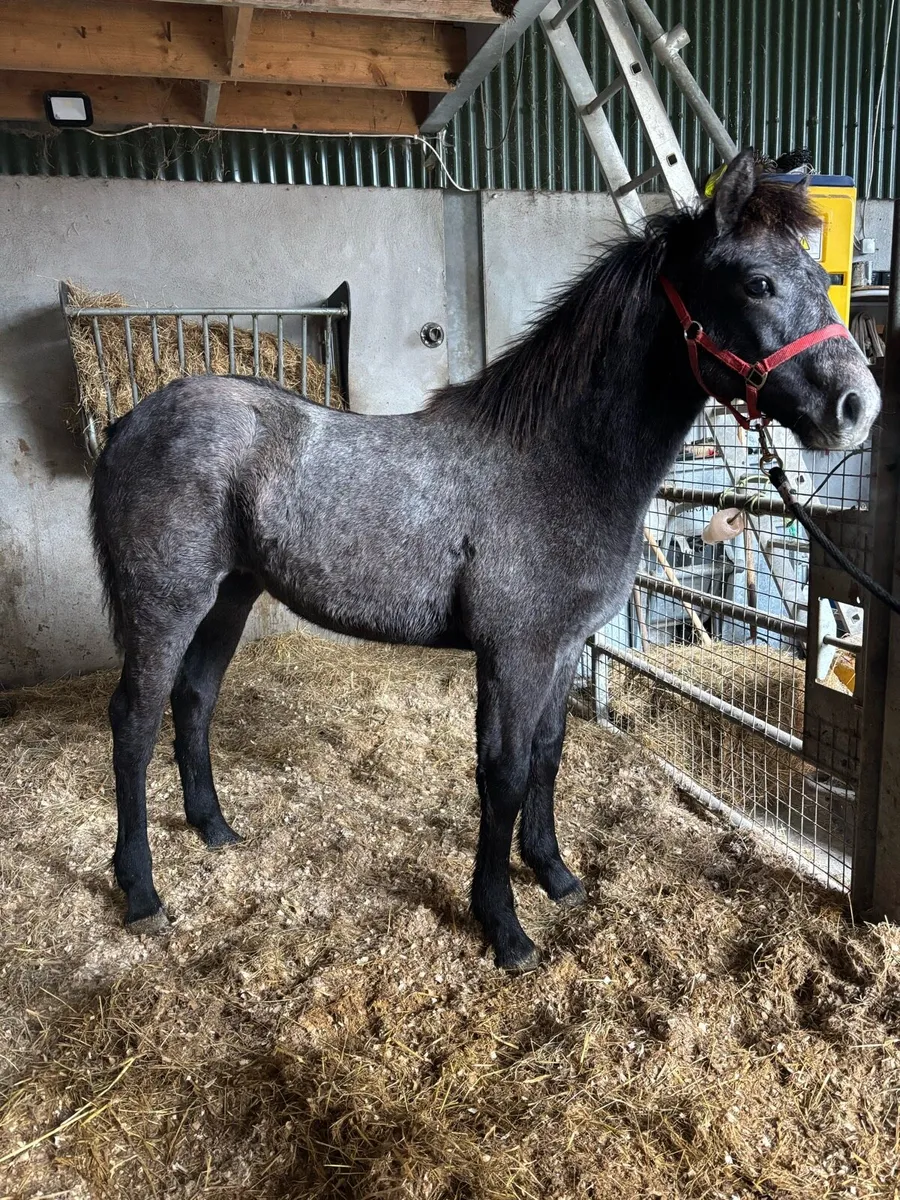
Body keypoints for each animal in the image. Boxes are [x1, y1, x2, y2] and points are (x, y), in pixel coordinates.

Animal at [91, 151, 880, 971]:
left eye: (819, 276)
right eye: (757, 282)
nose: (858, 406)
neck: (558, 464)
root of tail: (130, 422)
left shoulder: (562, 649)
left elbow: (547, 756)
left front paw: (555, 874)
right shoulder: (515, 652)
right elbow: (501, 776)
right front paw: (503, 925)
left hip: (230, 596)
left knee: (194, 700)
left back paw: (214, 830)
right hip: (166, 604)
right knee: (134, 720)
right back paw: (141, 892)